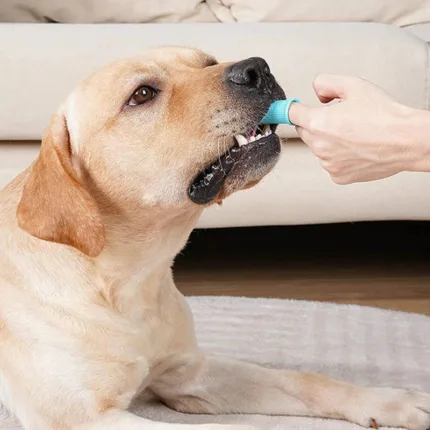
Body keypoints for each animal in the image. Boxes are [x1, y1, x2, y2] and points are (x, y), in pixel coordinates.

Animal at [0, 47, 429, 430]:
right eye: (142, 94)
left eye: (207, 61)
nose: (257, 68)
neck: (130, 283)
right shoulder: (84, 418)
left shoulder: (189, 373)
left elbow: (304, 380)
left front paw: (389, 401)